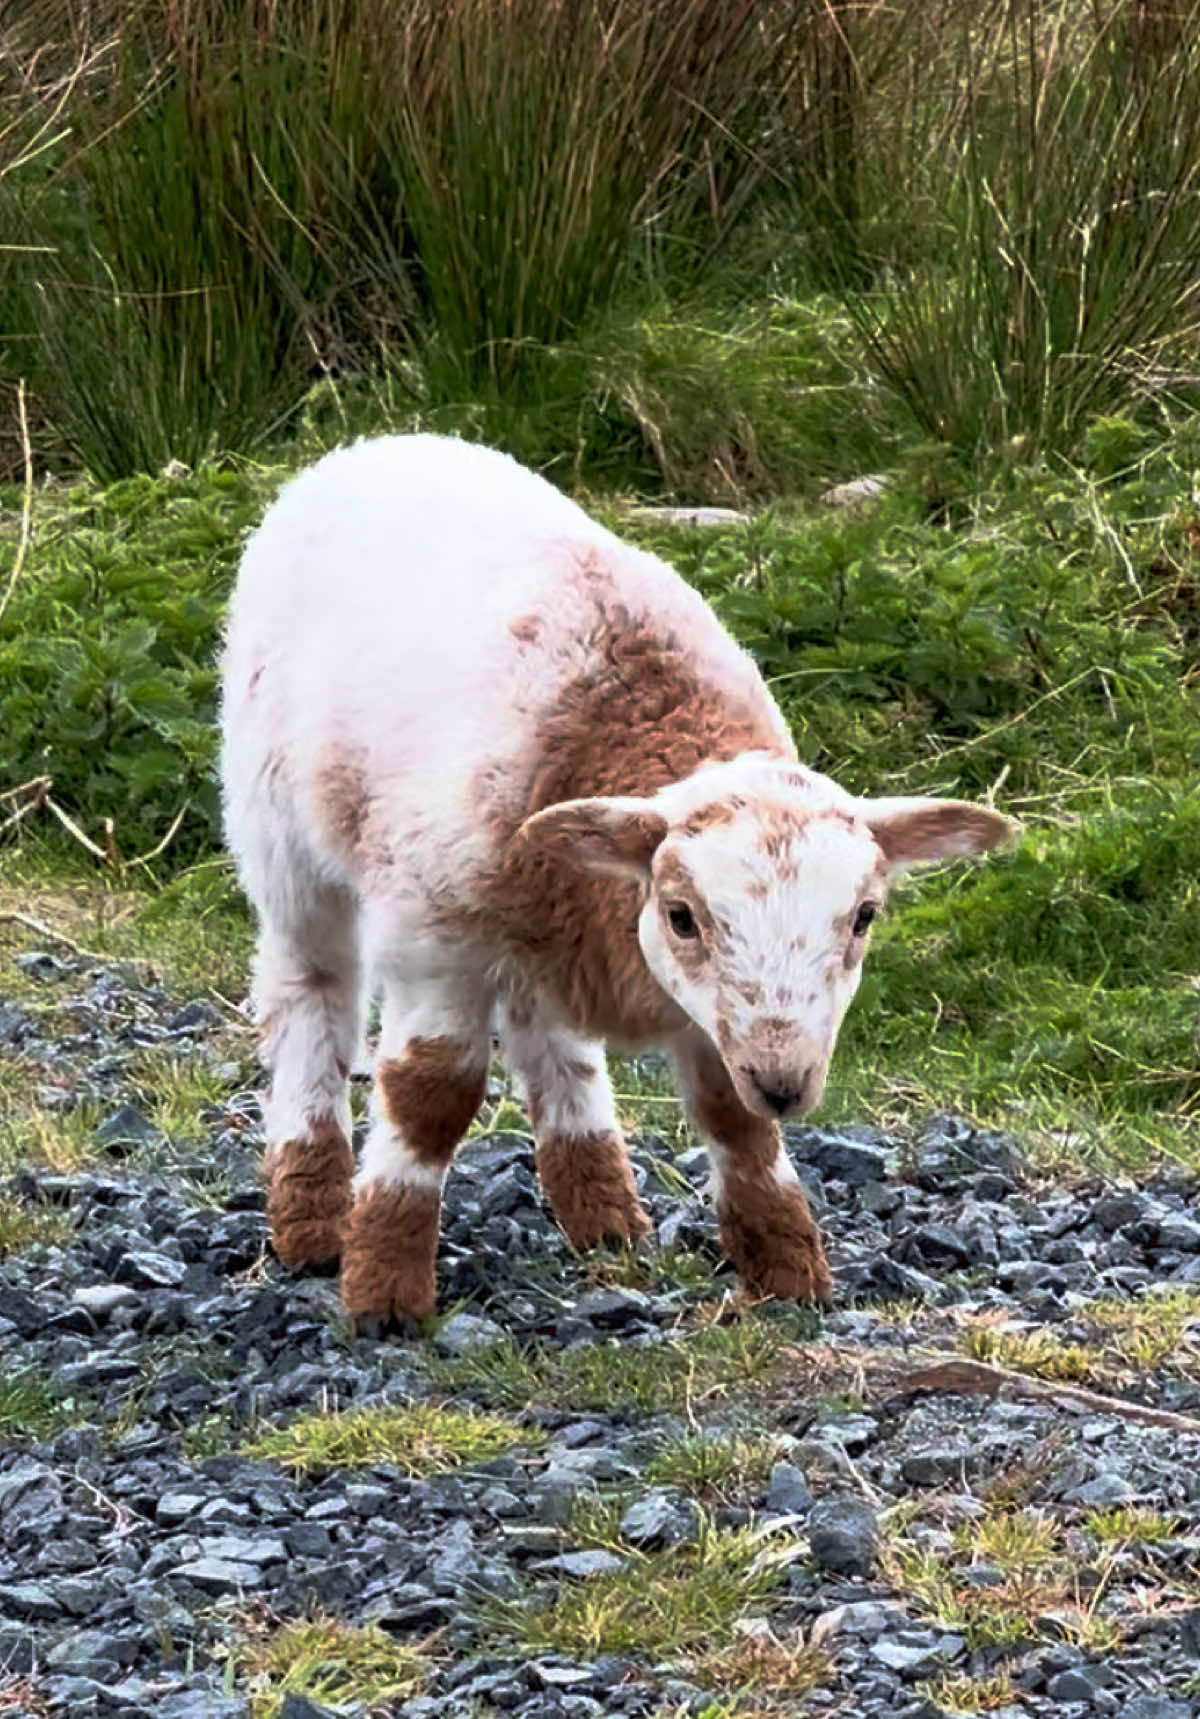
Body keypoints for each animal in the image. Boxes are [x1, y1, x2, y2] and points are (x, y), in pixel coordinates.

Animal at [220, 433, 1012, 1326]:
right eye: (681, 915)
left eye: (865, 915)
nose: (787, 1084)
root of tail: (382, 442)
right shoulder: (434, 938)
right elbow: (432, 1098)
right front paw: (386, 1287)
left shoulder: (703, 1009)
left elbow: (734, 1120)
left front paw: (786, 1271)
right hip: (282, 830)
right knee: (310, 990)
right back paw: (312, 1212)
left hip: (525, 922)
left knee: (545, 1028)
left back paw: (601, 1209)